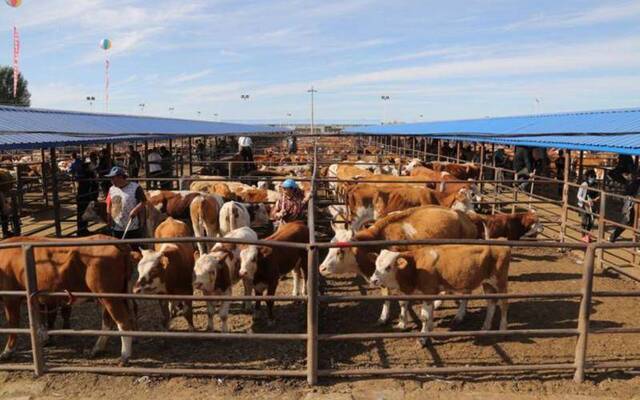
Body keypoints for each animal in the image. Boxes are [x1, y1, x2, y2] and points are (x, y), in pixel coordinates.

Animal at [0, 234, 139, 366]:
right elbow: (38, 320)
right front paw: (43, 339)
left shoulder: (10, 297)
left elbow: (13, 325)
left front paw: (7, 351)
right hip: (112, 295)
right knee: (109, 321)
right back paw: (97, 349)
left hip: (108, 295)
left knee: (123, 321)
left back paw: (124, 357)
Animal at [370, 245, 510, 346]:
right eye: (376, 265)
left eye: (388, 267)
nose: (373, 280)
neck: (415, 266)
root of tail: (503, 247)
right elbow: (404, 305)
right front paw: (402, 325)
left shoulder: (428, 292)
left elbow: (424, 316)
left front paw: (423, 338)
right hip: (487, 284)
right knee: (491, 303)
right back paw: (485, 328)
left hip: (501, 283)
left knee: (504, 305)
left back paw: (502, 330)